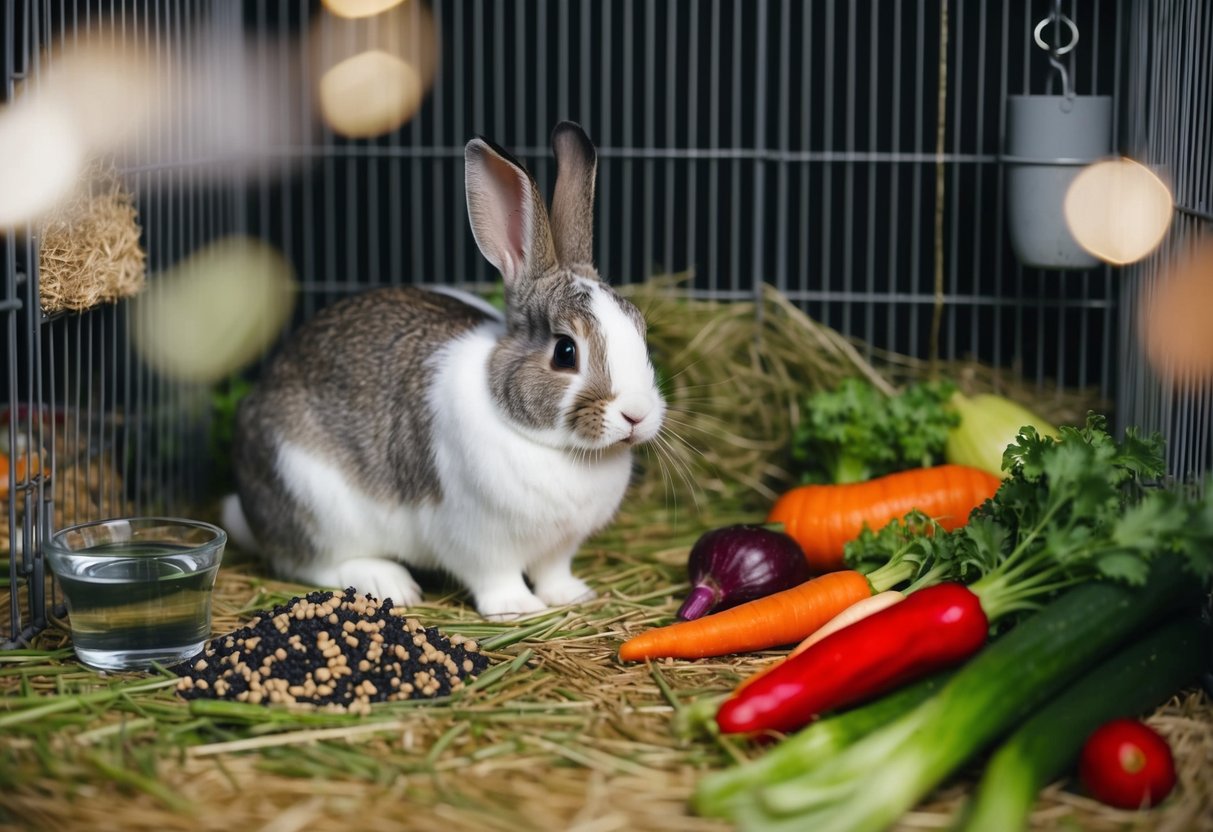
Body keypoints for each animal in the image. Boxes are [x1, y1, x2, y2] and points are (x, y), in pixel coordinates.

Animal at [222, 122, 666, 620]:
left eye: (641, 330)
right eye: (566, 352)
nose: (637, 415)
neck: (554, 447)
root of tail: (250, 510)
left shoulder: (560, 546)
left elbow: (554, 572)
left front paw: (573, 596)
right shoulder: (478, 542)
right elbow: (497, 578)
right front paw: (517, 609)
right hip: (314, 500)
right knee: (309, 562)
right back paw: (388, 580)